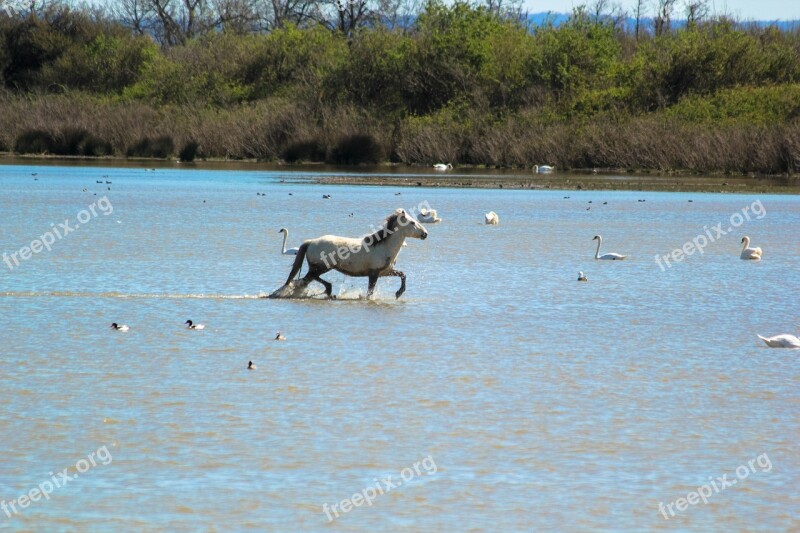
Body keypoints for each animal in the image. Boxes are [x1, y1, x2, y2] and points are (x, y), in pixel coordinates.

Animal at [268, 209, 428, 300]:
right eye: (412, 223)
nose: (425, 234)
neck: (383, 246)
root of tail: (311, 241)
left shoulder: (386, 272)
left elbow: (403, 274)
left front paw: (398, 293)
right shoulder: (374, 273)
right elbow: (370, 292)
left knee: (307, 279)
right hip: (321, 266)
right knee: (306, 279)